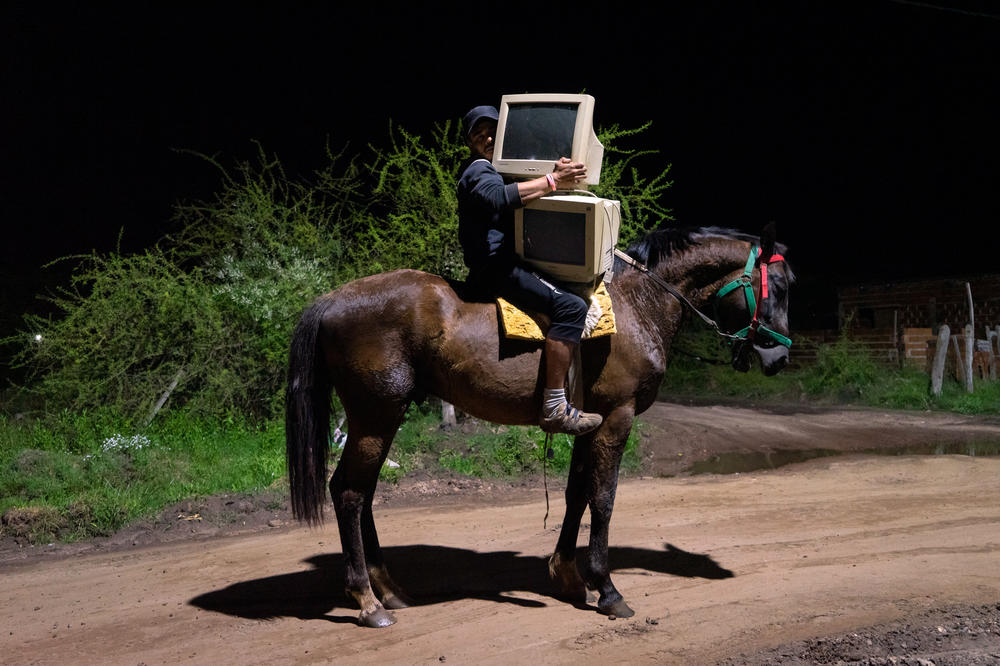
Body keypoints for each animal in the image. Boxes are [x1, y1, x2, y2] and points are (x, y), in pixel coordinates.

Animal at [286, 222, 792, 624]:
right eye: (783, 285)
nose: (780, 357)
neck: (636, 304)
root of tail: (331, 299)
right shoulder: (617, 418)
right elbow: (603, 499)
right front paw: (607, 590)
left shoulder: (588, 423)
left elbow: (576, 495)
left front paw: (568, 576)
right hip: (376, 415)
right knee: (350, 494)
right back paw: (367, 600)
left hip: (380, 417)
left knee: (361, 492)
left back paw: (389, 590)